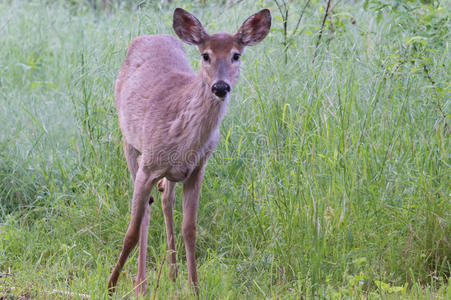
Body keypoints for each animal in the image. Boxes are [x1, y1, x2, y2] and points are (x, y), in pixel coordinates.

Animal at [108, 6, 272, 296]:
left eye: (236, 55)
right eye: (205, 55)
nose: (220, 86)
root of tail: (150, 36)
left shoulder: (197, 169)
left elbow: (190, 229)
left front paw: (194, 287)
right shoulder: (148, 165)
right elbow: (132, 230)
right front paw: (112, 286)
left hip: (172, 173)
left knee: (165, 199)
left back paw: (171, 274)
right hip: (129, 143)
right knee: (147, 212)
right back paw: (142, 284)